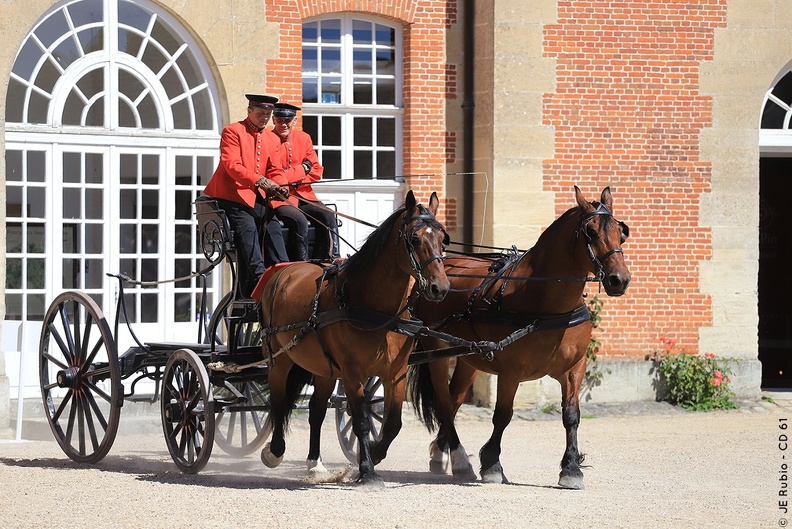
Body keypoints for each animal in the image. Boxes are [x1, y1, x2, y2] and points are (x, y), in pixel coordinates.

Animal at [260, 190, 452, 482]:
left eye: (442, 239)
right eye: (415, 239)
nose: (439, 288)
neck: (377, 311)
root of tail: (284, 270)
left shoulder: (395, 374)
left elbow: (393, 424)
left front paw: (374, 453)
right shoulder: (352, 374)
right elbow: (360, 420)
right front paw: (367, 470)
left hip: (324, 369)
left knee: (316, 410)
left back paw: (315, 463)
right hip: (279, 360)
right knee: (279, 401)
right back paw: (274, 451)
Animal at [408, 186, 632, 486]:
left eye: (621, 232)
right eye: (591, 232)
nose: (620, 279)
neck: (548, 304)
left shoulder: (575, 368)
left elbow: (571, 415)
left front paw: (571, 467)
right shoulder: (511, 370)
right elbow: (503, 416)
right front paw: (492, 463)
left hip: (468, 358)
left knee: (454, 401)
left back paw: (443, 451)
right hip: (437, 353)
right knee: (444, 403)